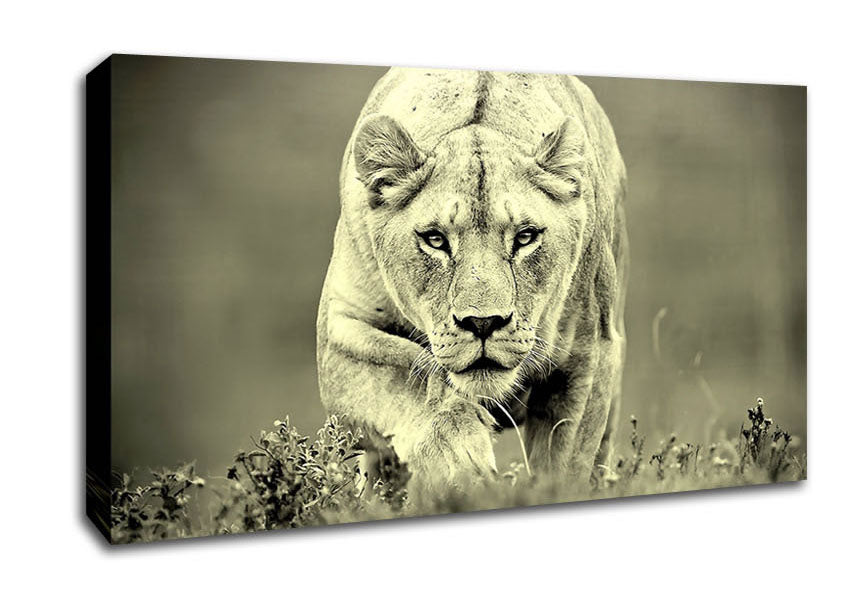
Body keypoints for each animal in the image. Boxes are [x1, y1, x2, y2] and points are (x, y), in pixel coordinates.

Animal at [316, 68, 628, 490]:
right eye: (435, 239)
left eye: (525, 237)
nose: (483, 323)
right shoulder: (339, 334)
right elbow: (409, 373)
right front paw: (459, 460)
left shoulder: (588, 352)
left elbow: (564, 463)